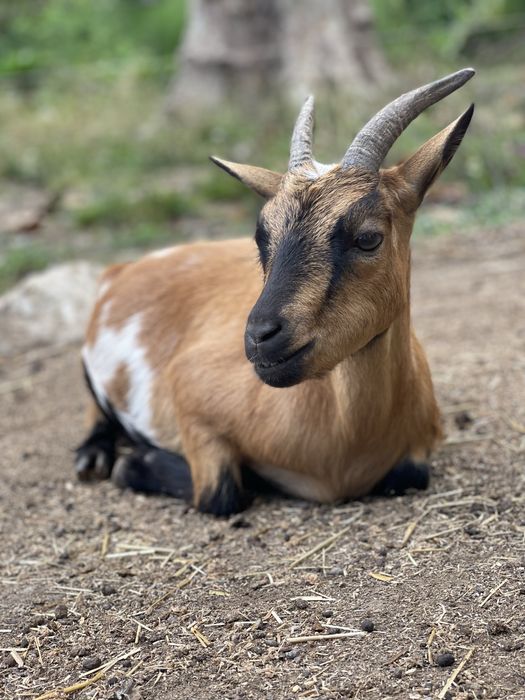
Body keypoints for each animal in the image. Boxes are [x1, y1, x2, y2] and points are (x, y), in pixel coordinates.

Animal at [76, 69, 475, 516]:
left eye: (368, 237)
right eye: (261, 236)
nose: (260, 337)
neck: (346, 445)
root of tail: (121, 269)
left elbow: (411, 474)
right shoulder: (189, 389)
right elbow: (219, 492)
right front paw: (136, 460)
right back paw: (92, 456)